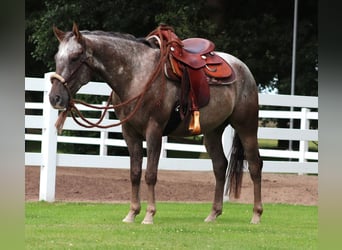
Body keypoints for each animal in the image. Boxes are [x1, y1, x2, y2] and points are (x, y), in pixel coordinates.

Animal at [48, 23, 262, 225]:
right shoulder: (130, 133)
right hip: (212, 132)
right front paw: (132, 213)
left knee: (255, 165)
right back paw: (213, 214)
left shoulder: (154, 131)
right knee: (220, 166)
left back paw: (256, 215)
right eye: (57, 57)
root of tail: (243, 69)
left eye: (75, 57)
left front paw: (149, 215)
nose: (54, 98)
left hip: (246, 127)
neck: (136, 75)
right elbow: (135, 173)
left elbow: (150, 174)